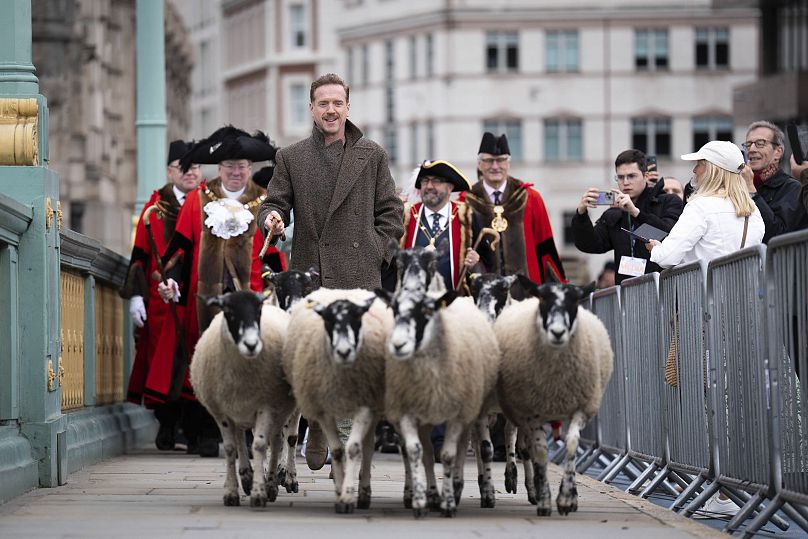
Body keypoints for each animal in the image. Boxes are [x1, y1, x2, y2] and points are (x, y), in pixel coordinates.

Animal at [190, 292, 296, 506]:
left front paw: (260, 492)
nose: (251, 345)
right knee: (249, 438)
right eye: (228, 311)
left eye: (258, 311)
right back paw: (249, 476)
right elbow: (232, 448)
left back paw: (280, 480)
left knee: (283, 440)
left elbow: (261, 445)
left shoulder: (266, 405)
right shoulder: (223, 411)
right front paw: (232, 492)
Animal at [282, 288, 392, 512]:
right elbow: (337, 449)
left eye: (357, 319)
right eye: (329, 321)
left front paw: (346, 493)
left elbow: (352, 448)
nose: (343, 351)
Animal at [378, 286, 498, 520]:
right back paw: (429, 495)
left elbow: (450, 455)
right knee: (423, 453)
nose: (398, 344)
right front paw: (421, 501)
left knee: (464, 448)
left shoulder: (459, 415)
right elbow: (416, 452)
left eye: (427, 311)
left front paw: (449, 502)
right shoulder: (408, 413)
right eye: (394, 310)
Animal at [492, 276, 612, 516]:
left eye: (575, 302)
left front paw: (567, 498)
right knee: (512, 437)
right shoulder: (531, 412)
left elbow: (572, 443)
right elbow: (538, 451)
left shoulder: (582, 408)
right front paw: (545, 498)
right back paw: (514, 479)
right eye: (544, 300)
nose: (557, 332)